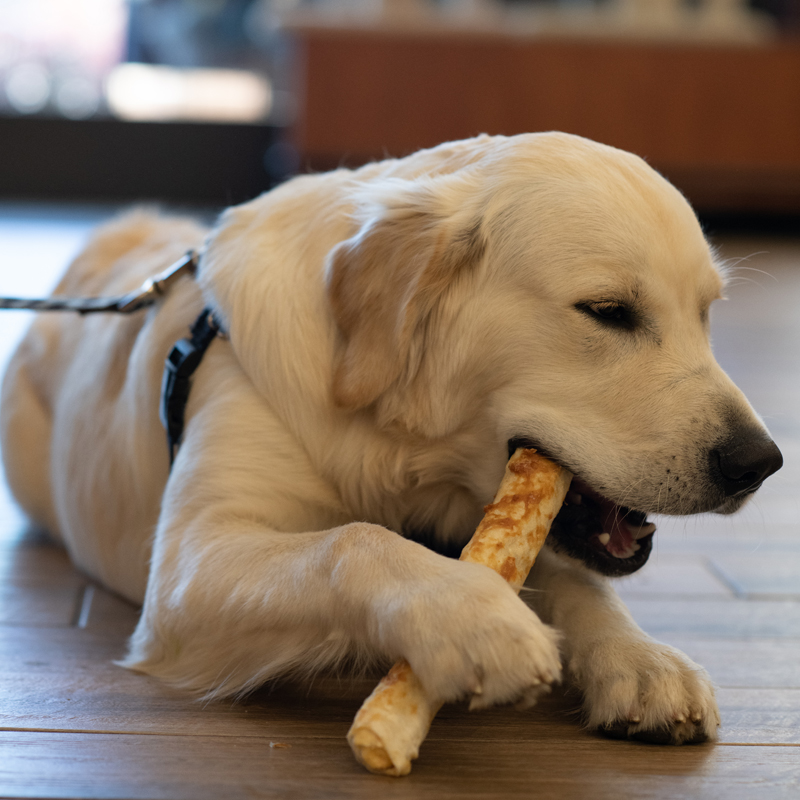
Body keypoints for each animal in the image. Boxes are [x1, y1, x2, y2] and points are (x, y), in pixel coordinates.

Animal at [0, 131, 780, 744]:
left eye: (706, 313)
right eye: (608, 311)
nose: (761, 463)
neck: (402, 454)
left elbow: (579, 582)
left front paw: (643, 660)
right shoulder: (192, 565)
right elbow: (350, 542)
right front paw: (475, 619)